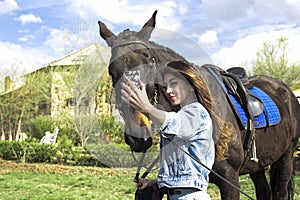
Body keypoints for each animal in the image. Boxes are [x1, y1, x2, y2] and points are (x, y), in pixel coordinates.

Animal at [98, 10, 300, 200]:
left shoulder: (230, 180)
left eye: (147, 60)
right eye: (111, 70)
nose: (137, 134)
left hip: (286, 158)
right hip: (257, 164)